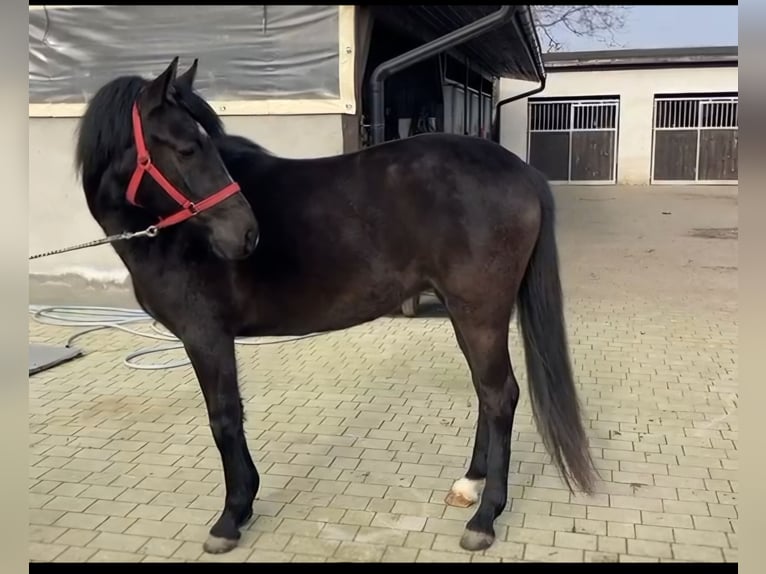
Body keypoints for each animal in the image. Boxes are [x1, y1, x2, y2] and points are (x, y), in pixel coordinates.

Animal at [73, 58, 600, 560]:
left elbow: (223, 419)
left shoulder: (206, 337)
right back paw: (469, 485)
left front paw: (231, 516)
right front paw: (245, 503)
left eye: (203, 146)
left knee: (500, 396)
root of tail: (521, 171)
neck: (172, 235)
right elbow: (232, 416)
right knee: (486, 395)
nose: (246, 233)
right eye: (186, 148)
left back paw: (484, 518)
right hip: (465, 314)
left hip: (480, 313)